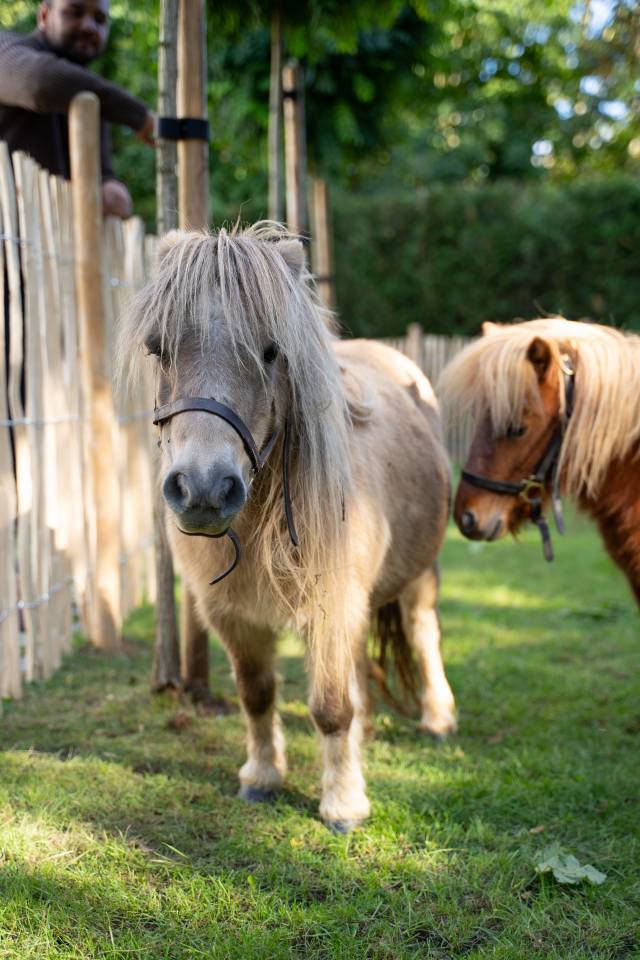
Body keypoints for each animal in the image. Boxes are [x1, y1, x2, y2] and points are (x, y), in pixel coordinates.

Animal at [119, 222, 456, 832]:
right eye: (159, 349)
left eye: (272, 351)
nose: (203, 489)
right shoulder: (232, 617)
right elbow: (256, 695)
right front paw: (262, 776)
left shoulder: (333, 607)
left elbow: (330, 705)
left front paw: (343, 801)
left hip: (420, 574)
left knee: (423, 633)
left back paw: (438, 719)